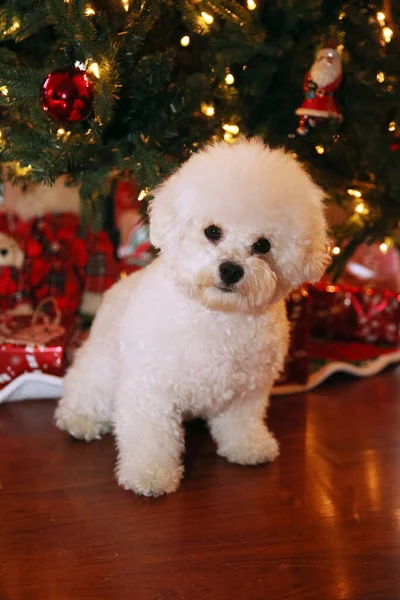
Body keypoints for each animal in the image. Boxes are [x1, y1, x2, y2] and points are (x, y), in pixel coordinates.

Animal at [54, 139, 330, 496]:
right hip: (102, 369)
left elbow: (241, 422)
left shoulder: (248, 390)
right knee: (84, 390)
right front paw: (150, 474)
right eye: (212, 231)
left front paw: (248, 446)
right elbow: (151, 439)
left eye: (263, 245)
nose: (231, 269)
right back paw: (80, 420)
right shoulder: (151, 390)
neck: (219, 316)